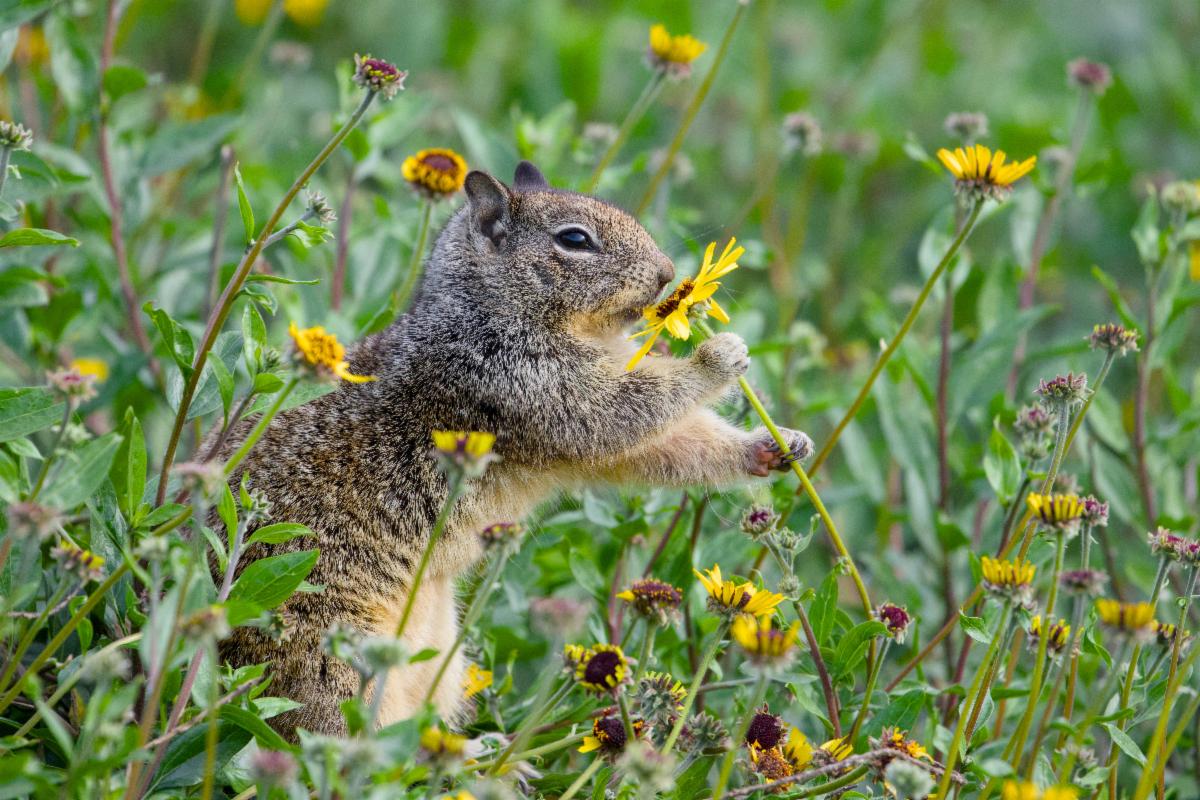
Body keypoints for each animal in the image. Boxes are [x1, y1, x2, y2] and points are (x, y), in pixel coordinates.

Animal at [215, 161, 812, 738]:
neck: (486, 306)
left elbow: (666, 445)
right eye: (574, 239)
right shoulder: (526, 381)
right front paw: (718, 357)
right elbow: (626, 410)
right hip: (329, 662)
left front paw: (776, 445)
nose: (668, 274)